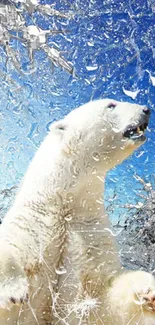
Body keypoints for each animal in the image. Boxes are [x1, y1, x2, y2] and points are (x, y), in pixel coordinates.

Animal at [0, 97, 154, 322]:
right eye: (111, 105)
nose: (146, 109)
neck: (63, 203)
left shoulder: (88, 229)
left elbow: (106, 296)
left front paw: (149, 291)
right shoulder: (34, 221)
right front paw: (15, 292)